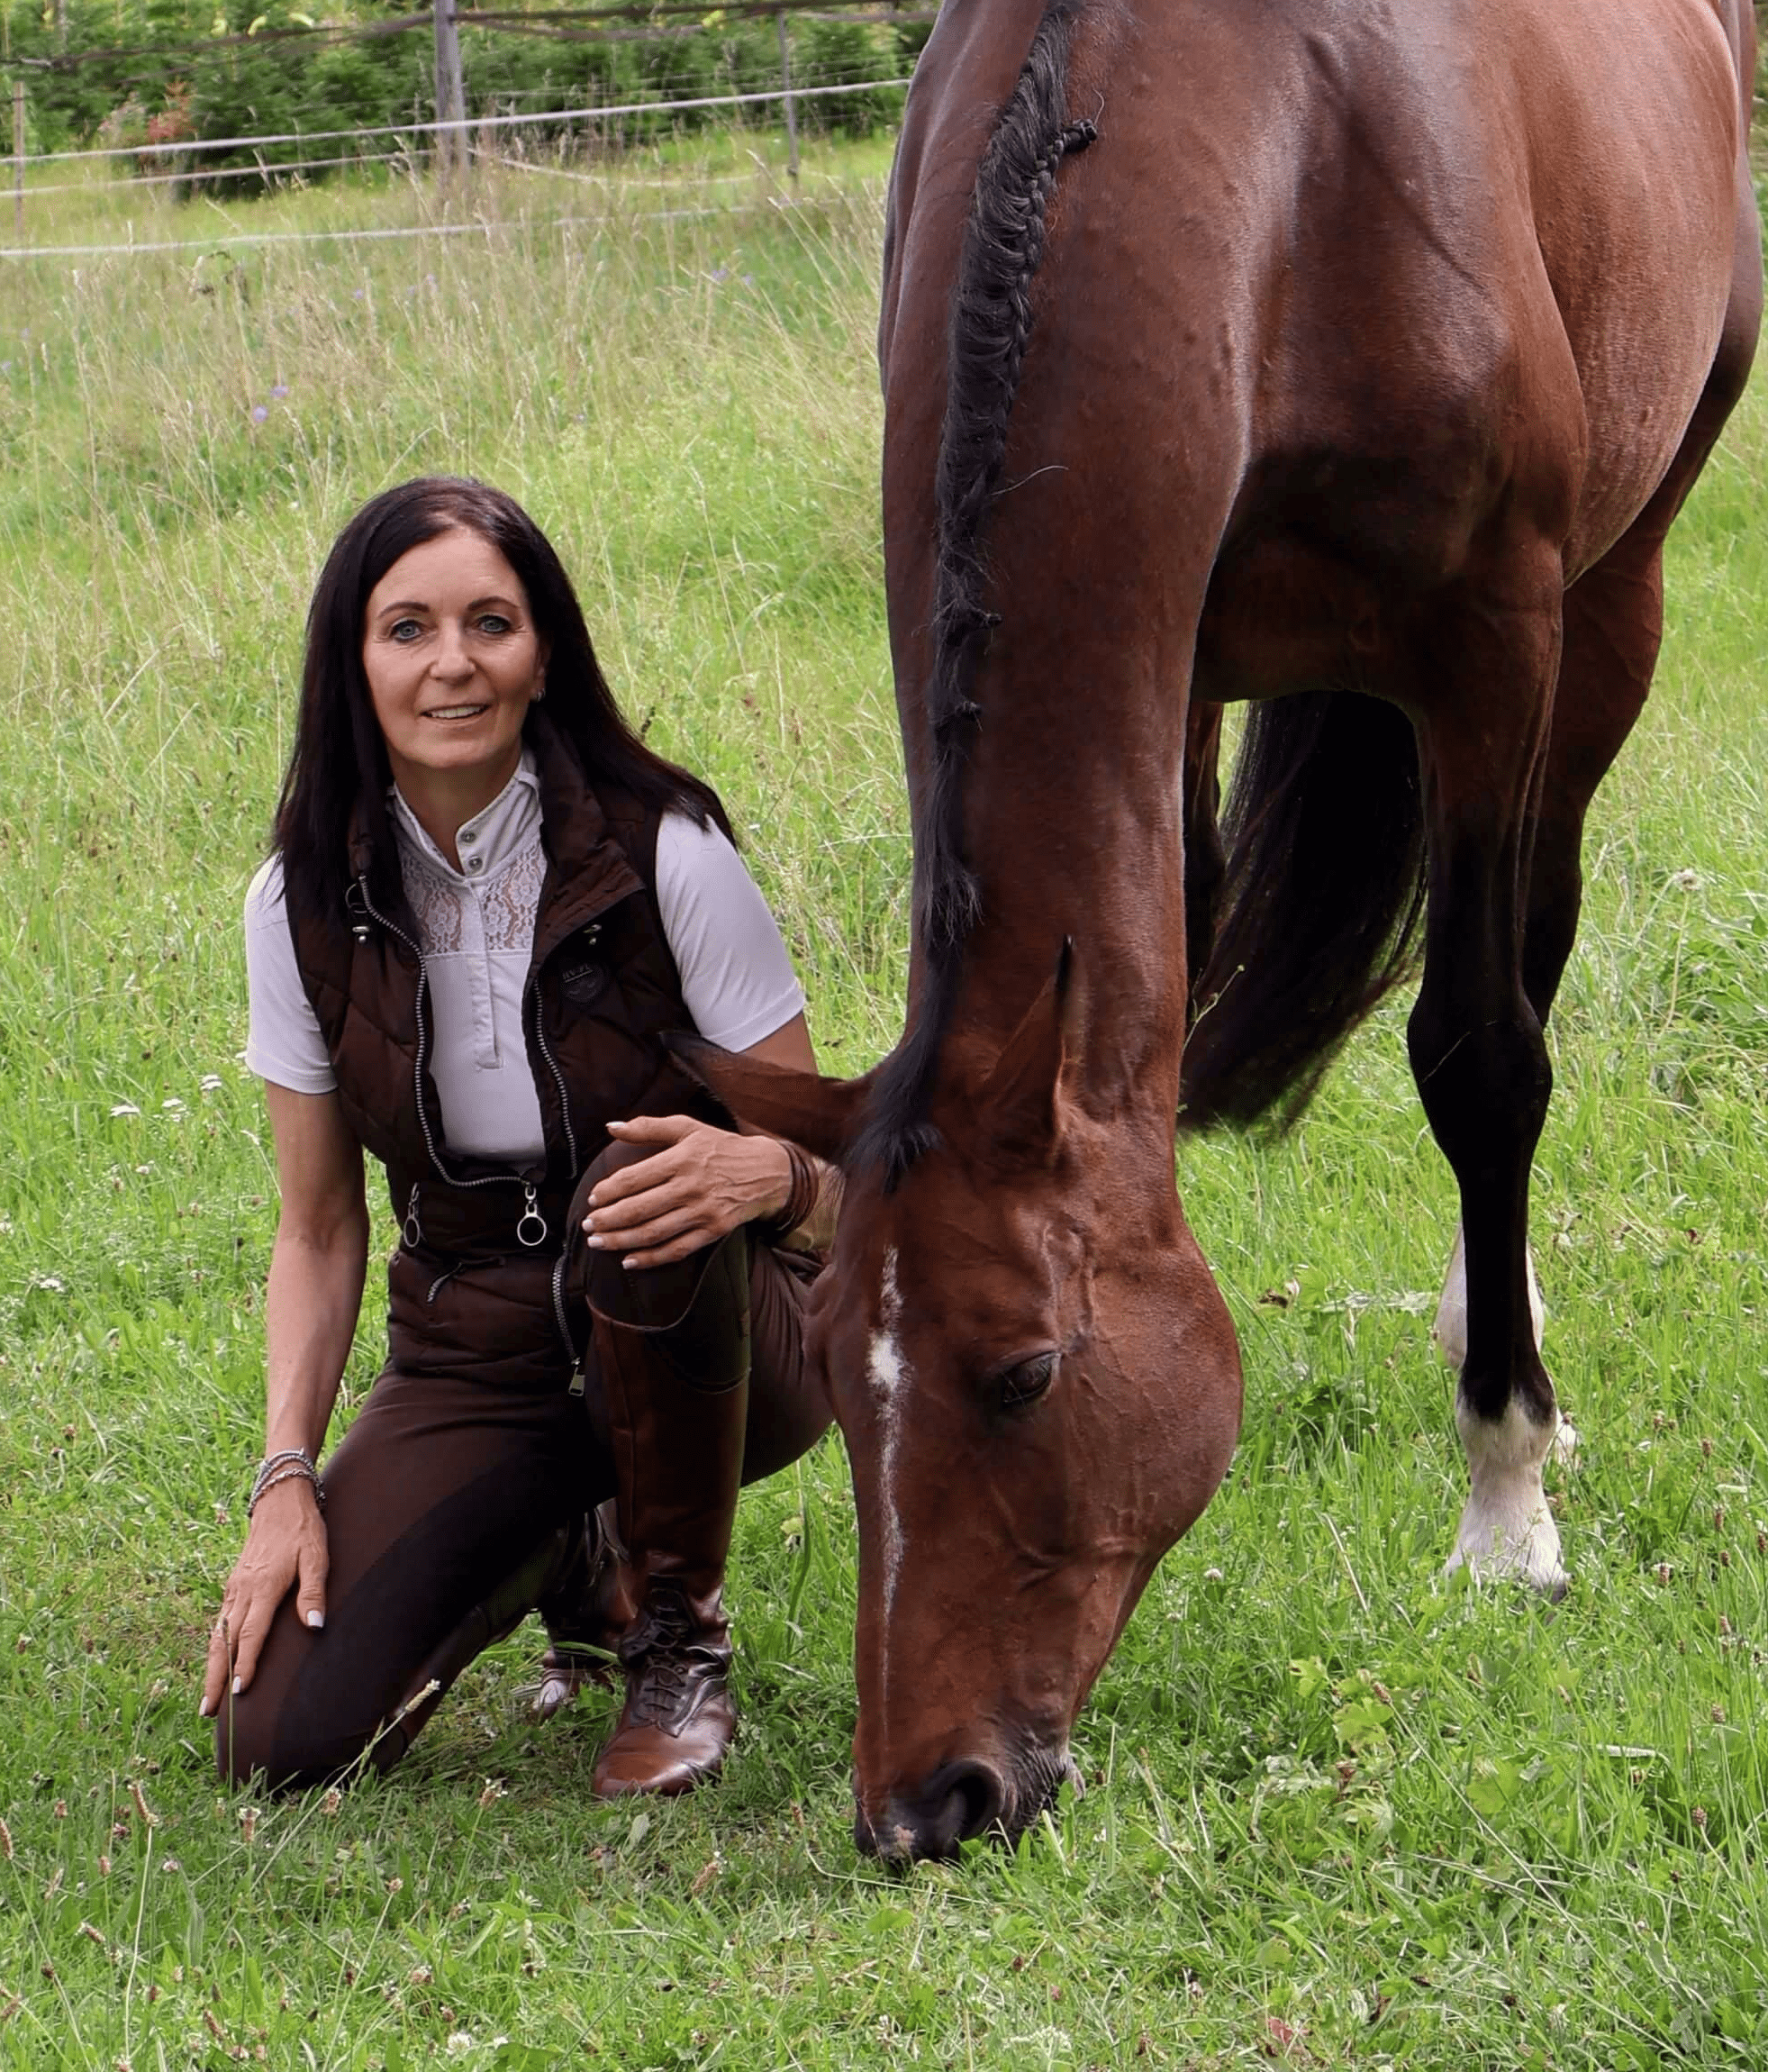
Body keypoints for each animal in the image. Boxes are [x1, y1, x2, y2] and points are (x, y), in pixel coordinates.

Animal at [680, 0, 1762, 1861]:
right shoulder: (1169, 674)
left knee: (1526, 968)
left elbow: (1479, 1060)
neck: (1293, 160)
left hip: (1608, 612)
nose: (924, 1805)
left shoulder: (1490, 653)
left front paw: (1503, 1511)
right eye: (819, 1365)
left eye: (1024, 1374)